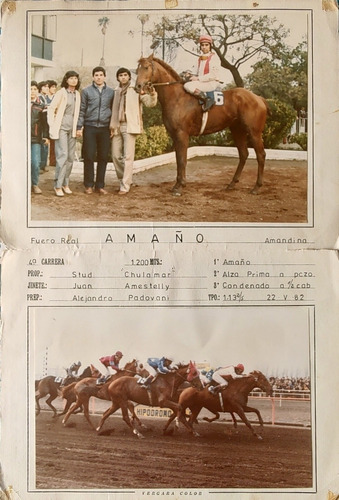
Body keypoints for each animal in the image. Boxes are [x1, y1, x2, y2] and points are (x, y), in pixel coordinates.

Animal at [136, 54, 270, 195]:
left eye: (146, 67)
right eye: (137, 69)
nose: (138, 86)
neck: (177, 97)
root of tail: (259, 98)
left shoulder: (182, 134)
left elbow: (182, 160)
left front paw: (180, 186)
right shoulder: (174, 135)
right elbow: (178, 159)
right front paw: (177, 184)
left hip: (254, 132)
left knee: (261, 155)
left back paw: (256, 187)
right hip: (237, 131)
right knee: (244, 154)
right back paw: (232, 183)